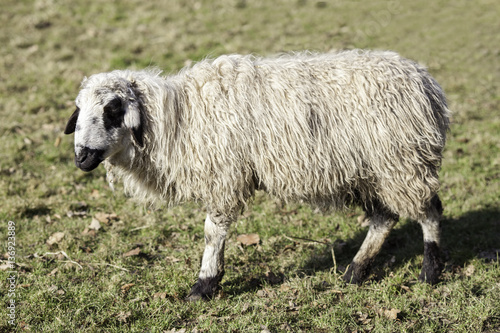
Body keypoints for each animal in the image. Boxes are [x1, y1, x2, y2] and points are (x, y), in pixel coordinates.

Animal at [64, 50, 452, 300]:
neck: (177, 118)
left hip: (402, 161)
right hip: (372, 170)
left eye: (113, 109)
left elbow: (213, 233)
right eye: (79, 111)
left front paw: (204, 286)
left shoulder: (224, 177)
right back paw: (355, 272)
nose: (81, 156)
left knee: (429, 210)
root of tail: (426, 82)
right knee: (384, 218)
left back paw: (430, 272)